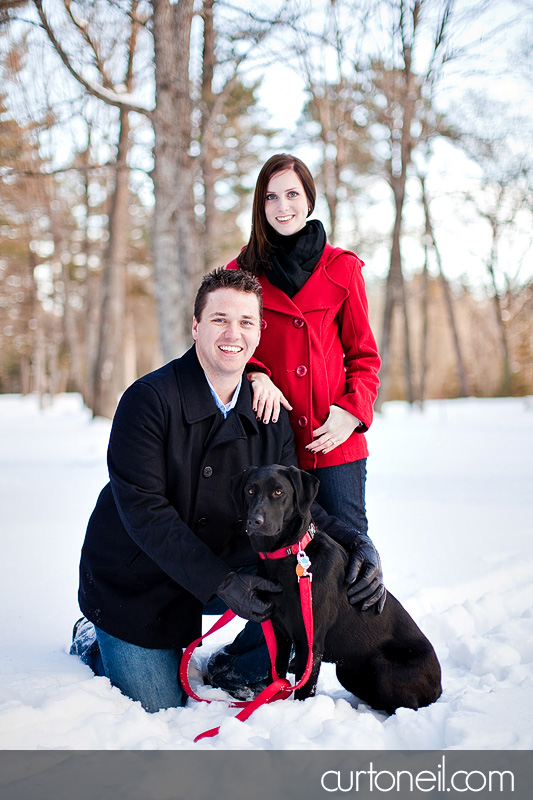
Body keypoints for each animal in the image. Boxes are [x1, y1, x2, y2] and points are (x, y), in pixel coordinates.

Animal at [231, 462, 442, 712]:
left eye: (279, 492)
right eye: (250, 491)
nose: (255, 521)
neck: (287, 557)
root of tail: (439, 686)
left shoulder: (310, 642)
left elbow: (304, 689)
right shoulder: (280, 635)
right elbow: (277, 677)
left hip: (382, 666)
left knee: (406, 705)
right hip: (347, 670)